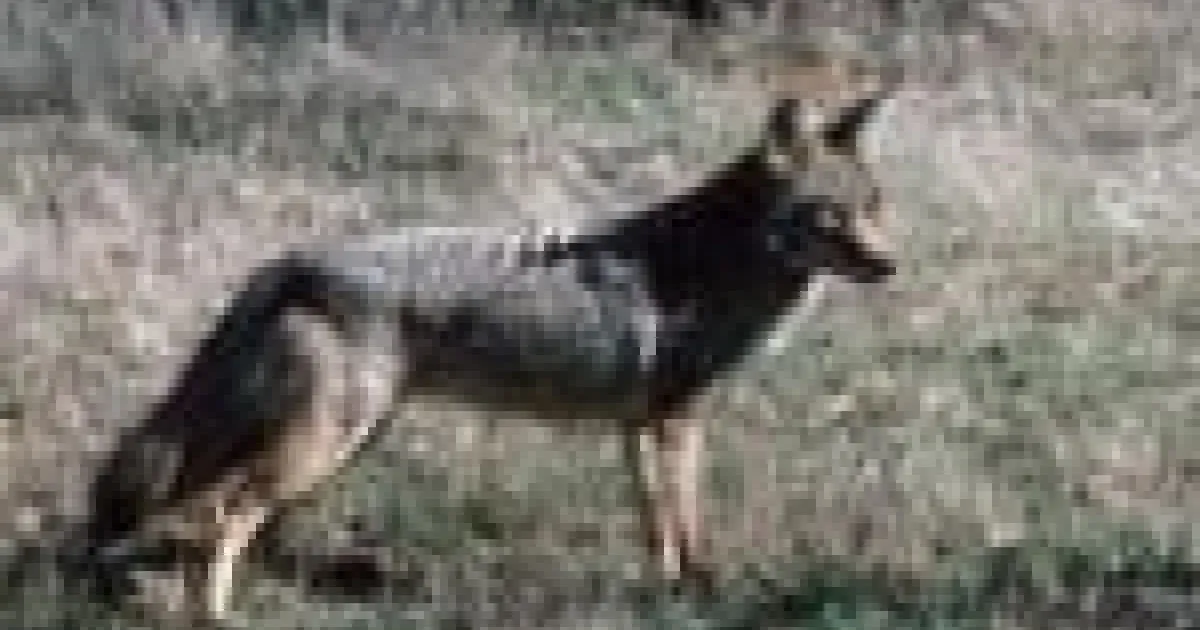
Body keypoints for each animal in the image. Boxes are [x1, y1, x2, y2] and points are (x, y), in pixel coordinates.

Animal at [61, 56, 899, 625]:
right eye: (831, 215)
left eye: (876, 207)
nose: (891, 265)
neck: (719, 263)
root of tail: (292, 260)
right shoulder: (678, 421)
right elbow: (689, 524)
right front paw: (701, 593)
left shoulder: (635, 427)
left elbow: (654, 524)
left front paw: (661, 591)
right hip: (324, 443)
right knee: (224, 517)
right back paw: (217, 614)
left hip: (339, 444)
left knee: (230, 520)